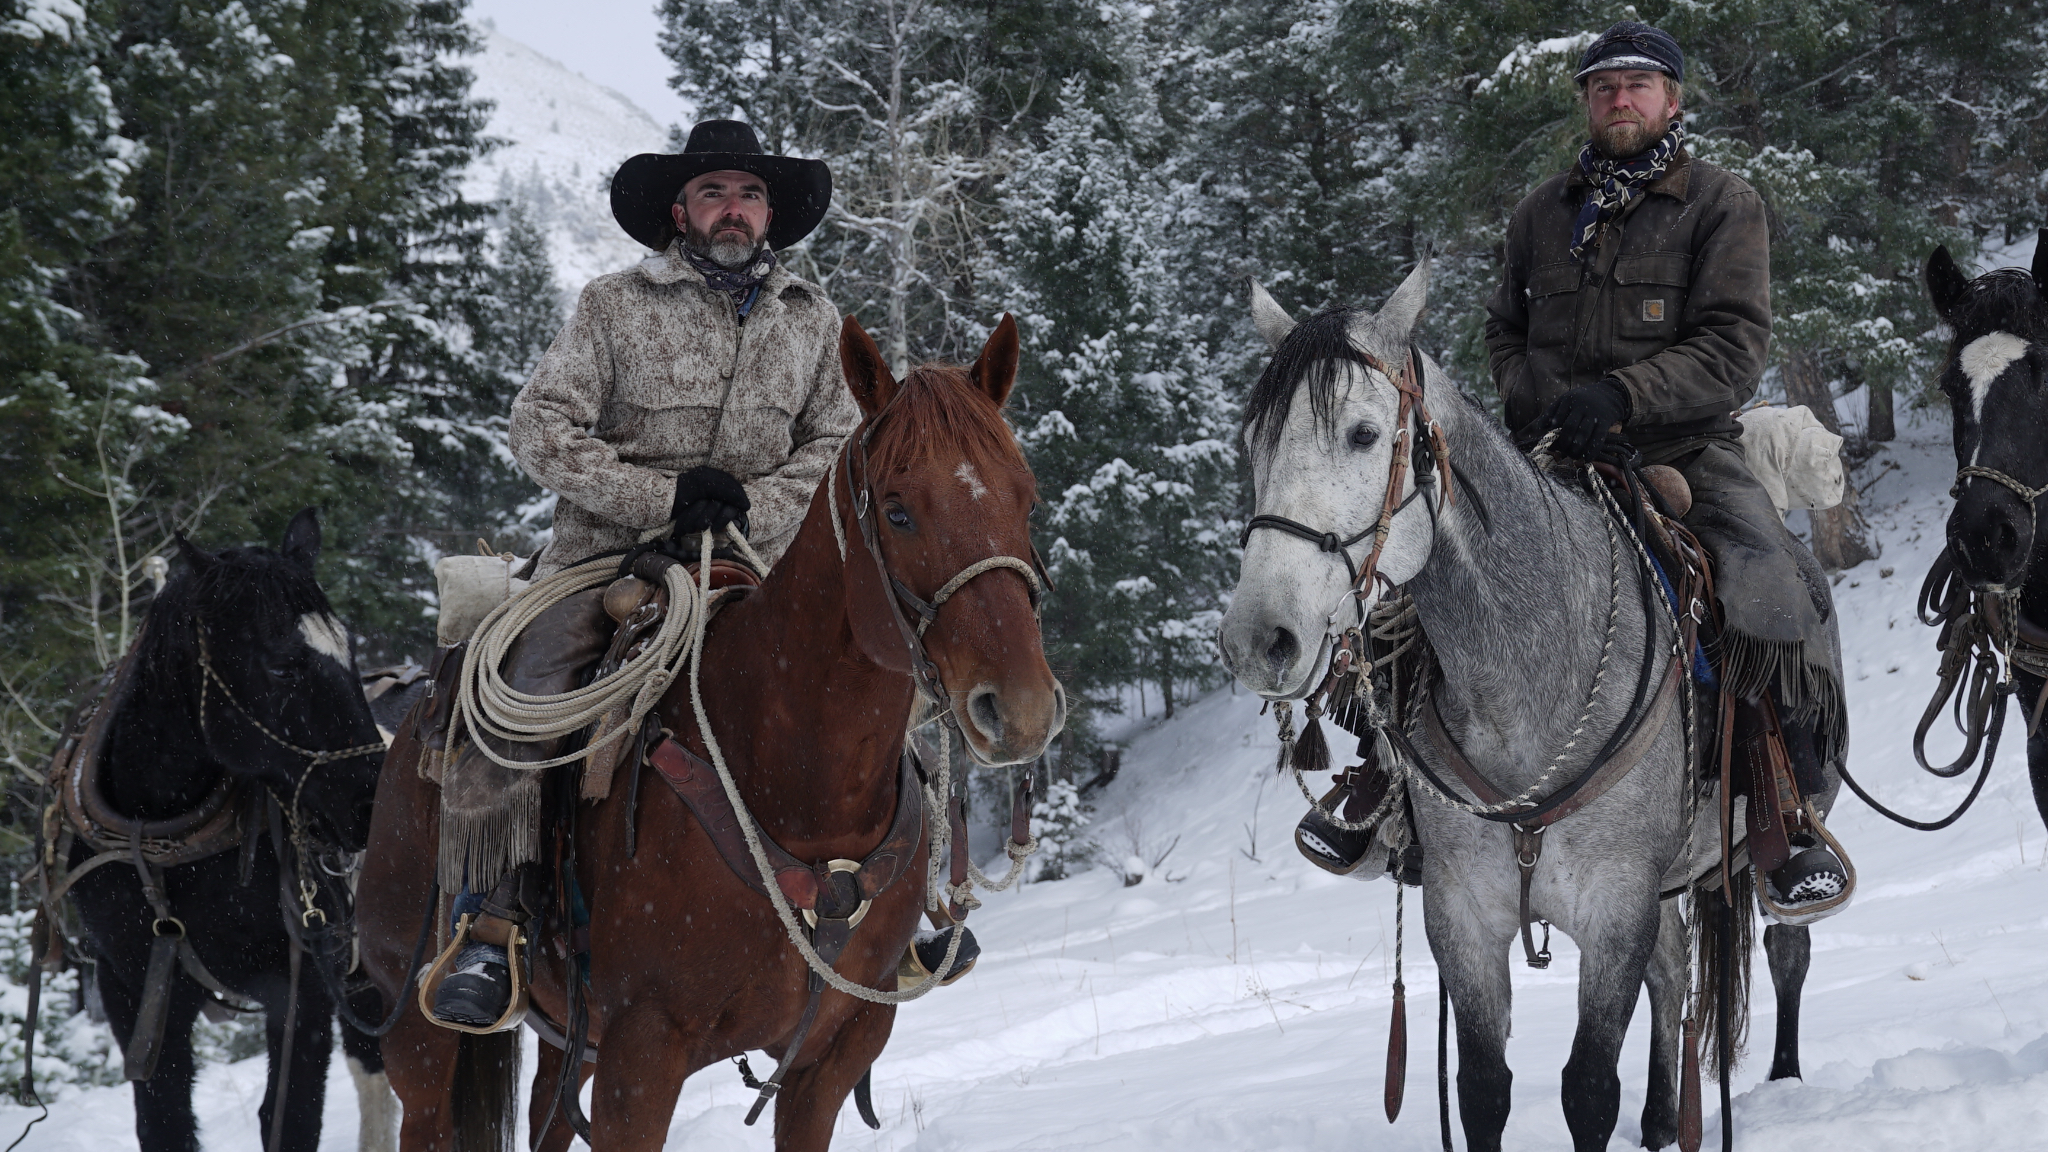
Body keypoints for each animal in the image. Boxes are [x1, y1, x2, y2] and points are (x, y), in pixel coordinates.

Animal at [64, 510, 391, 1147]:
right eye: (283, 664)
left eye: (349, 651)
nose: (374, 805)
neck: (166, 841)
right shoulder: (133, 995)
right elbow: (164, 1123)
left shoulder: (302, 985)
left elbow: (288, 1118)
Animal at [364, 315, 1073, 1147]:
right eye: (898, 510)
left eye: (1026, 501)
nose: (1020, 709)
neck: (802, 793)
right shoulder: (643, 1056)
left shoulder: (834, 1055)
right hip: (420, 1036)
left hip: (569, 1041)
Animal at [1204, 262, 1835, 1147]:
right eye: (1253, 445)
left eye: (1363, 434)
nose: (1259, 638)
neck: (1528, 683)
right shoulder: (1465, 917)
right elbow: (1482, 1089)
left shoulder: (1614, 908)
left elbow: (1588, 1088)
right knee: (1676, 969)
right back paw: (1662, 1116)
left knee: (1784, 950)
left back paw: (1783, 1075)